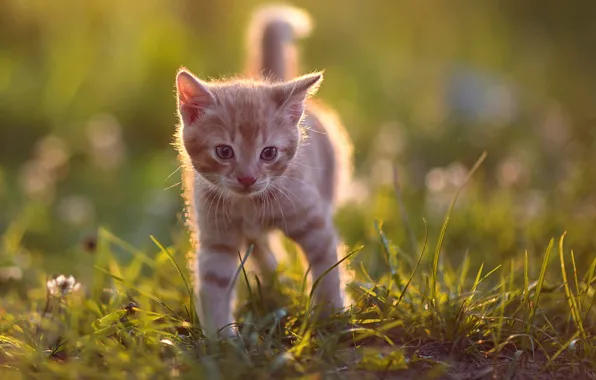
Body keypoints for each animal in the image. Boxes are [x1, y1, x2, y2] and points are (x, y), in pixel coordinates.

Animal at [172, 2, 352, 336]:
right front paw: (221, 339)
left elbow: (327, 269)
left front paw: (330, 316)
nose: (247, 177)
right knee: (261, 248)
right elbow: (214, 283)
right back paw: (271, 279)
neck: (249, 207)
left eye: (269, 153)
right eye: (224, 152)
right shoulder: (216, 237)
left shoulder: (315, 222)